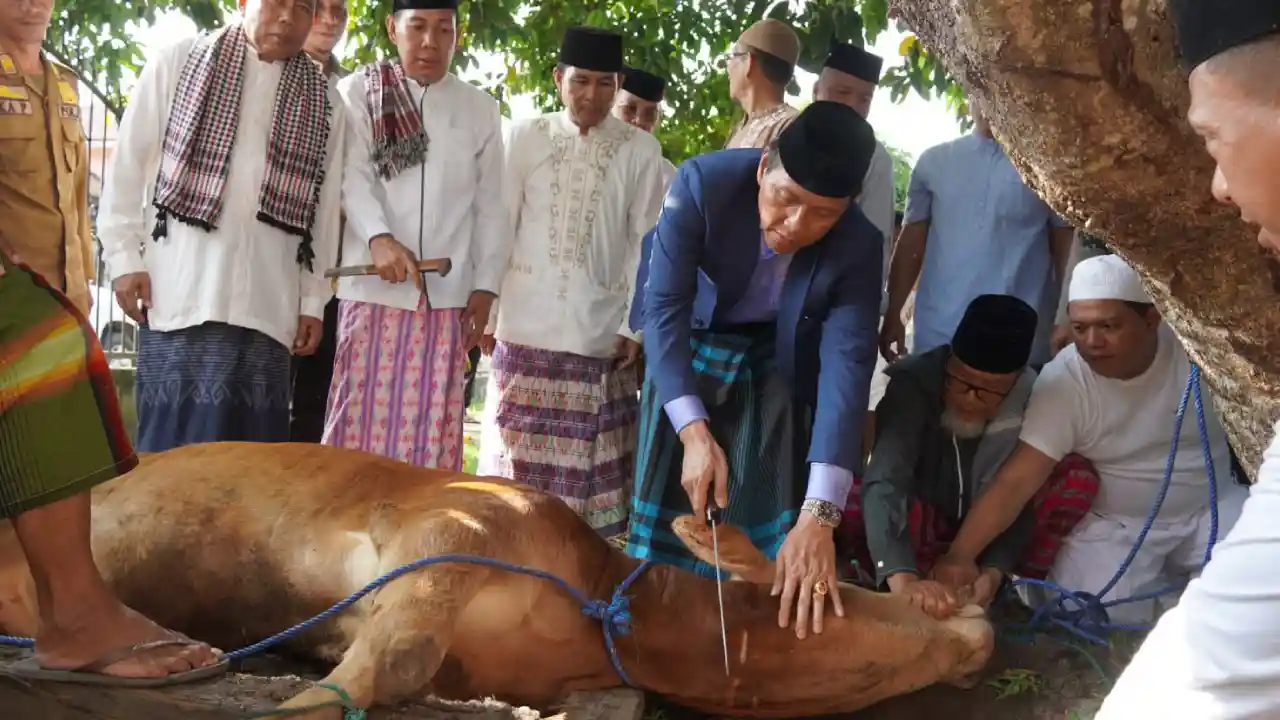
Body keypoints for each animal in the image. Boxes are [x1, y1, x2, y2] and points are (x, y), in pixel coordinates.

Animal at [0, 440, 993, 712]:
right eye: (862, 587)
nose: (980, 616)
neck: (608, 609)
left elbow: (396, 664)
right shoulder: (457, 527)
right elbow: (387, 663)